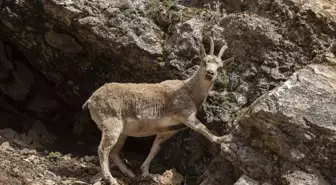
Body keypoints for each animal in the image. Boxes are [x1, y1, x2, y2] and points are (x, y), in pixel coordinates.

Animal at [82, 36, 234, 184]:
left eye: (220, 67)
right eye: (204, 61)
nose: (210, 73)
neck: (189, 90)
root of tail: (91, 100)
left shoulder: (168, 130)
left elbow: (155, 148)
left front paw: (145, 172)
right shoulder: (185, 114)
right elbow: (202, 127)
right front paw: (221, 138)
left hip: (121, 131)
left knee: (114, 151)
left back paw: (129, 173)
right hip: (112, 122)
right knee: (103, 149)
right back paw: (110, 179)